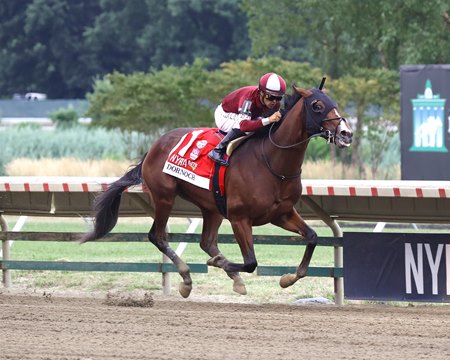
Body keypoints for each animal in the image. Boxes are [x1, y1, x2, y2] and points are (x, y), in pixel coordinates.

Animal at [81, 84, 352, 298]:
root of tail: (154, 146)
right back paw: (187, 277)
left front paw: (287, 279)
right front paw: (223, 264)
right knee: (157, 236)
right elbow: (250, 262)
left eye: (334, 103)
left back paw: (227, 274)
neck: (273, 162)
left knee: (207, 242)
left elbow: (312, 237)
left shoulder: (282, 214)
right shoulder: (240, 218)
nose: (346, 133)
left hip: (211, 207)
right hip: (164, 197)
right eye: (317, 105)